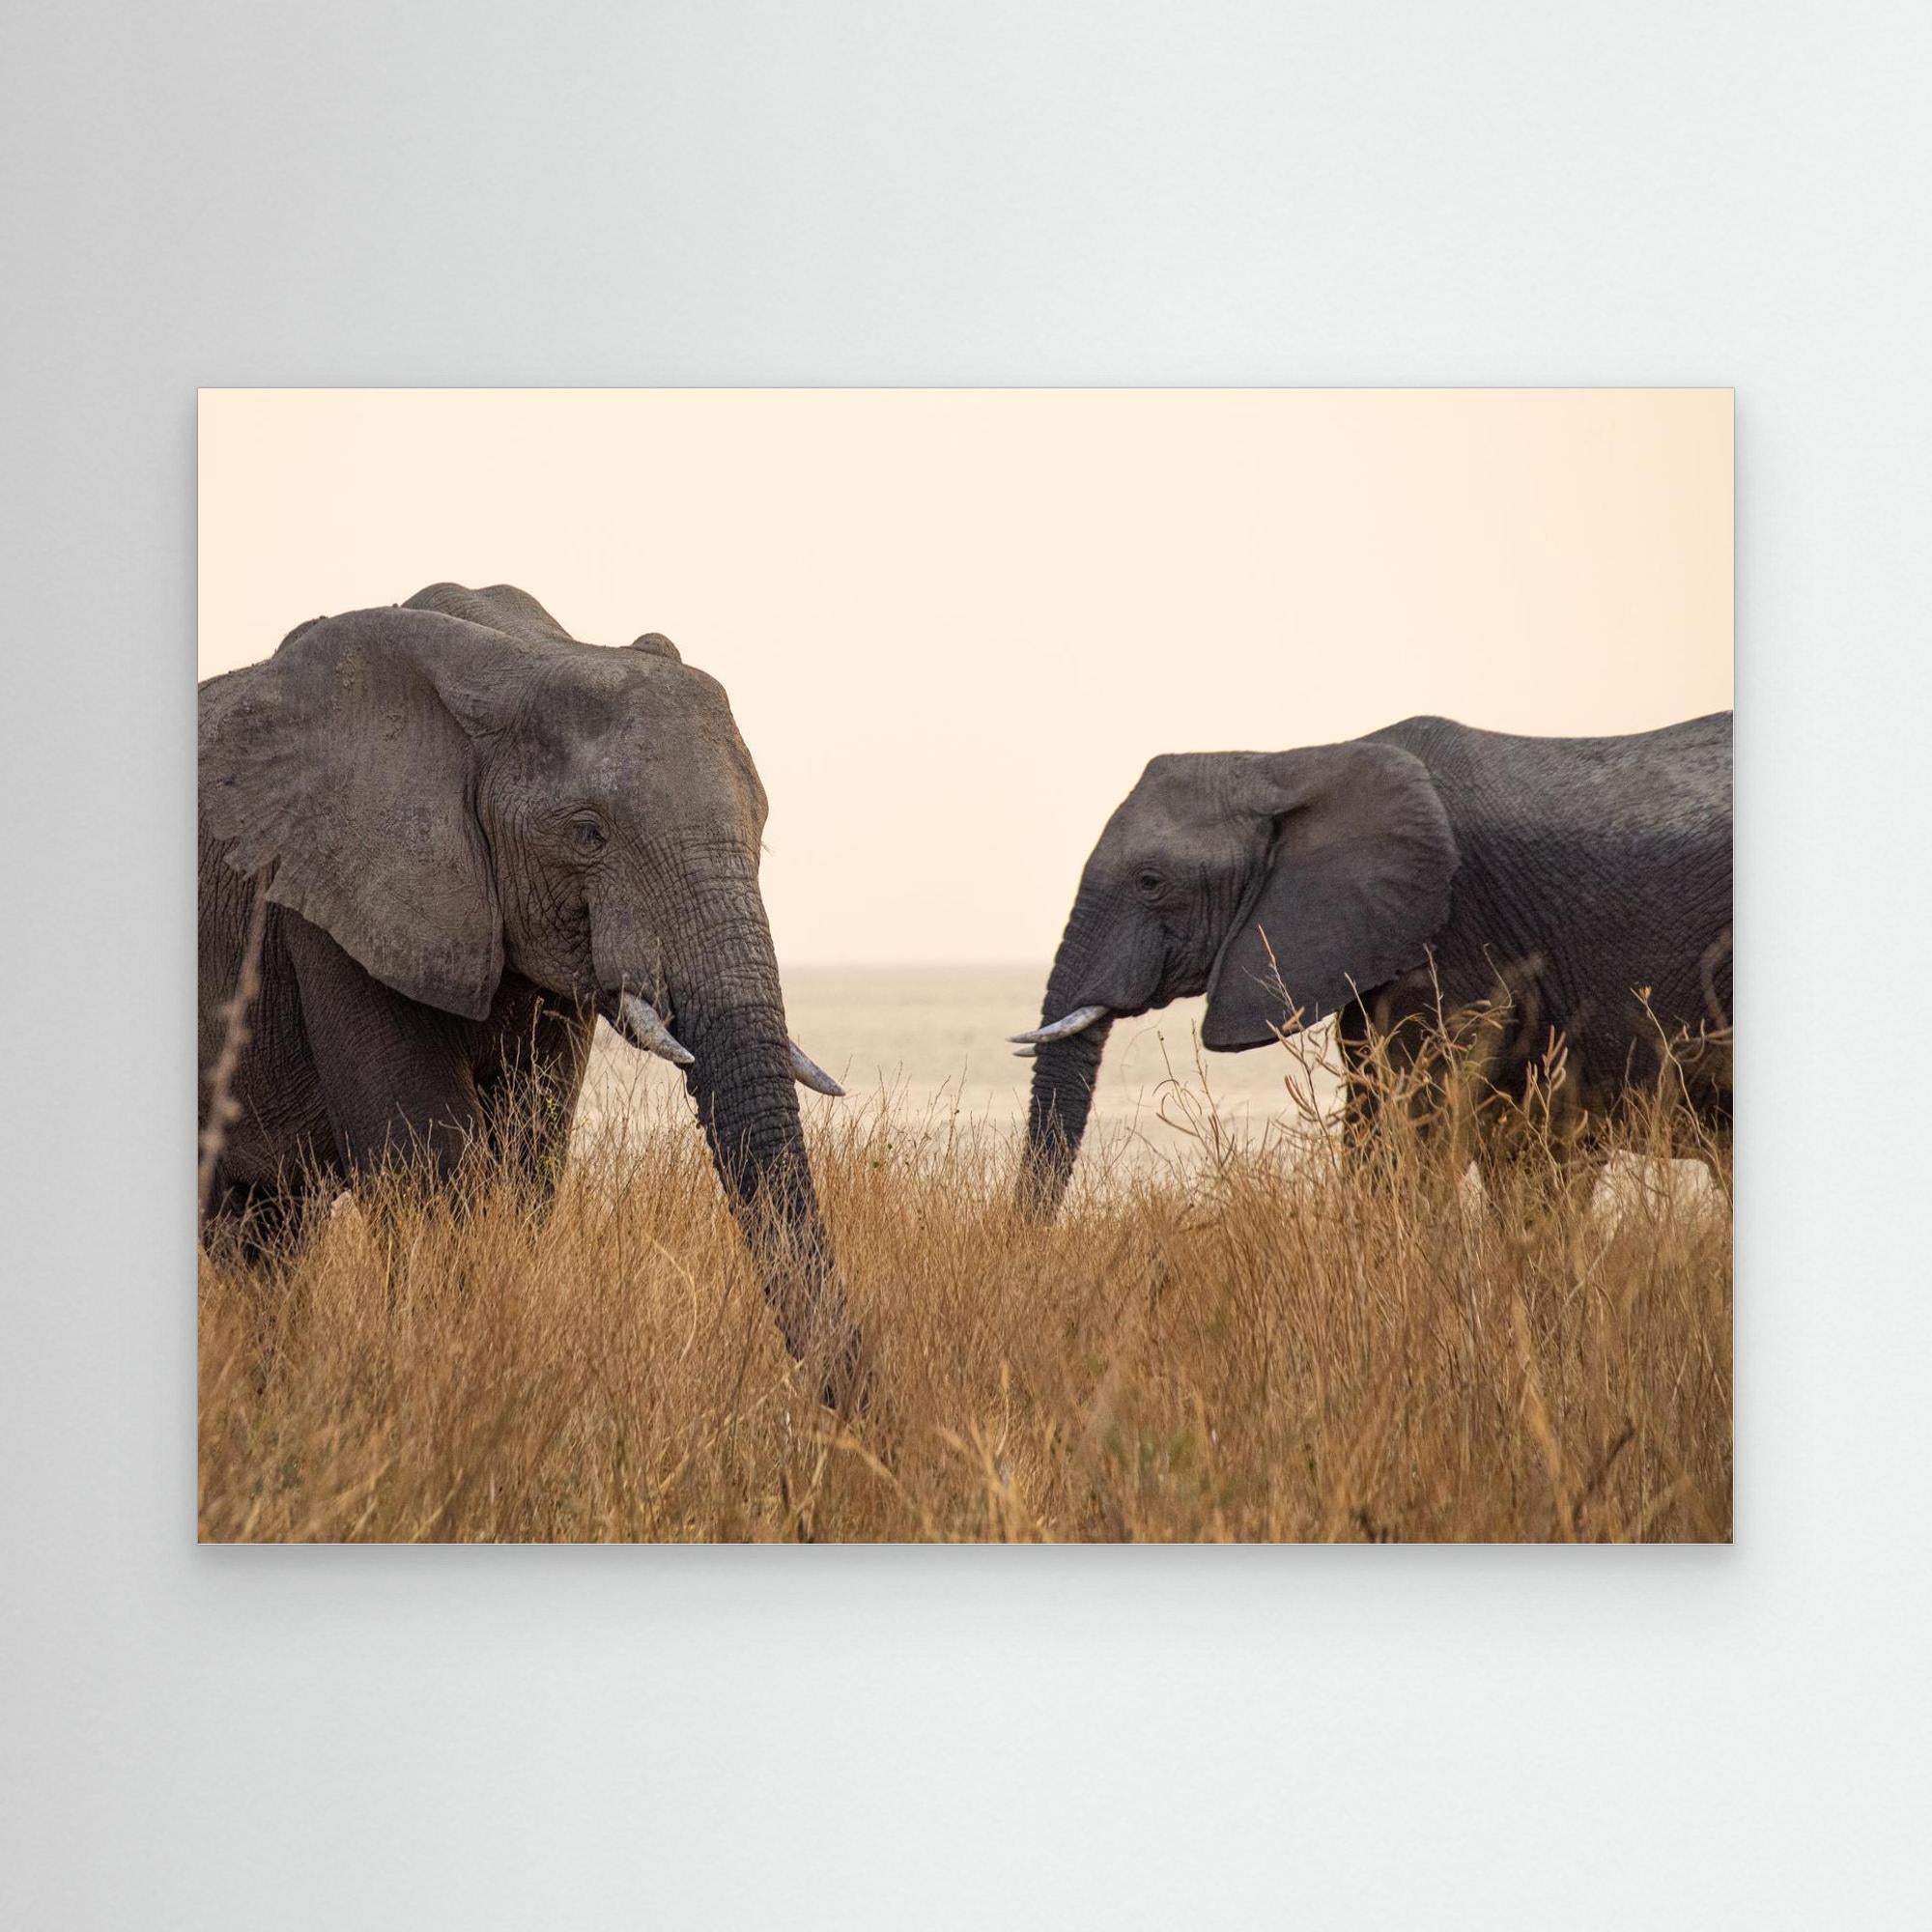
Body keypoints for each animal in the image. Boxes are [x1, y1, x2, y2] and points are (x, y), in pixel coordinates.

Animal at [198, 581, 857, 1388]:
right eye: (587, 832)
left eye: (760, 827)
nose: (861, 1409)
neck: (510, 662)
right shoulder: (327, 905)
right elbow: (428, 1162)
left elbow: (529, 1154)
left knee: (265, 1240)